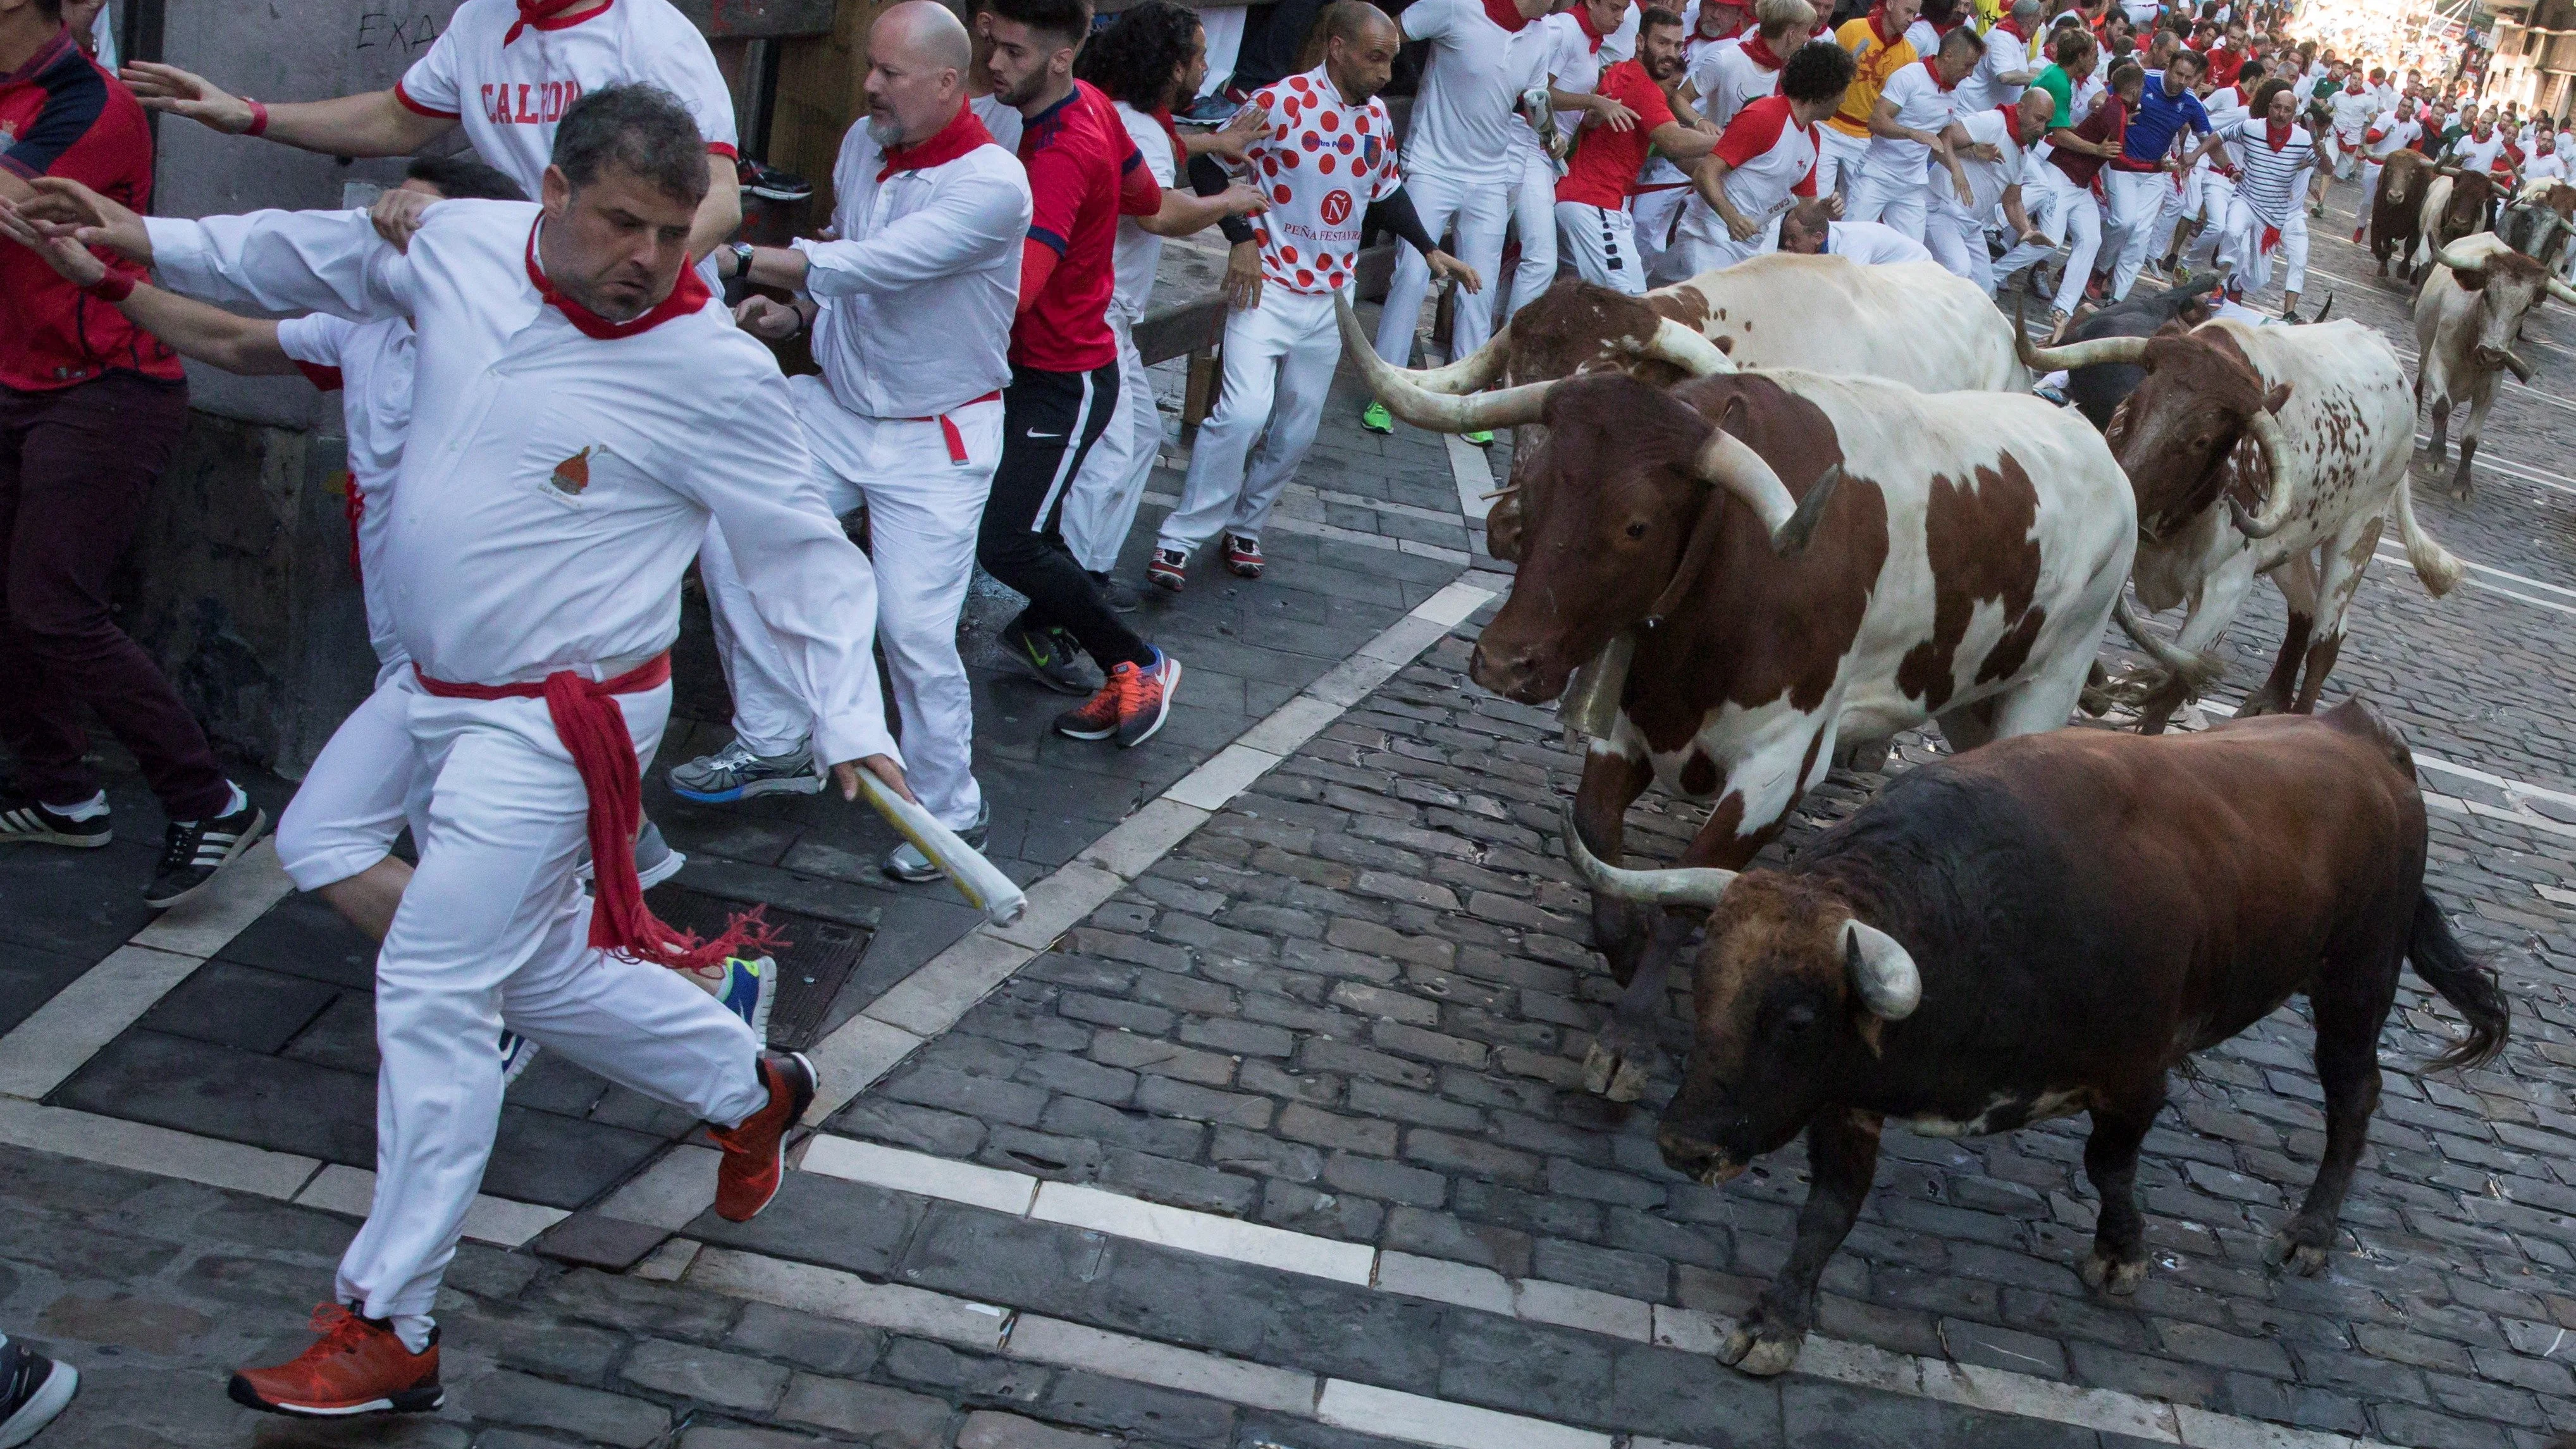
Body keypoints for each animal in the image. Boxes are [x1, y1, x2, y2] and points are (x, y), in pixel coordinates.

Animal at [1329, 301, 2133, 1093]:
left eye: (1635, 524)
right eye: (1529, 493)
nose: (1503, 662)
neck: (1729, 567)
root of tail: (2089, 440)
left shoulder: (1778, 768)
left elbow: (1690, 889)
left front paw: (1628, 1035)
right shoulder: (1629, 724)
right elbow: (1594, 833)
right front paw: (1622, 945)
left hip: (2049, 682)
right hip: (1970, 697)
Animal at [1556, 706, 2503, 1371]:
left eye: (1794, 1020)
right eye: (1703, 985)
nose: (1684, 1143)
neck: (1979, 920)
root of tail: (2362, 736)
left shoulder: (2135, 1075)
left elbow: (2108, 1165)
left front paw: (2119, 1252)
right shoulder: (1847, 1095)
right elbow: (1826, 1213)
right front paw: (1775, 1320)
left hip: (2357, 977)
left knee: (2354, 1093)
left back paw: (2310, 1230)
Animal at [2009, 317, 2452, 727]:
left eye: (2201, 440)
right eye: (2132, 404)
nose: (2125, 488)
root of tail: (2384, 348)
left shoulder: (2225, 592)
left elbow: (2174, 682)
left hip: (2361, 529)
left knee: (2327, 637)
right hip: (2292, 544)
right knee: (2305, 610)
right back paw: (2270, 701)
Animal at [2411, 230, 2576, 490]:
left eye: (2526, 307)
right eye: (2487, 293)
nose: (2492, 353)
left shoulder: (2491, 387)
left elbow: (2470, 436)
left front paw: (2462, 483)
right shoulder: (2438, 364)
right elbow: (2441, 406)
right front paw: (2436, 458)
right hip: (2426, 350)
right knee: (2425, 379)